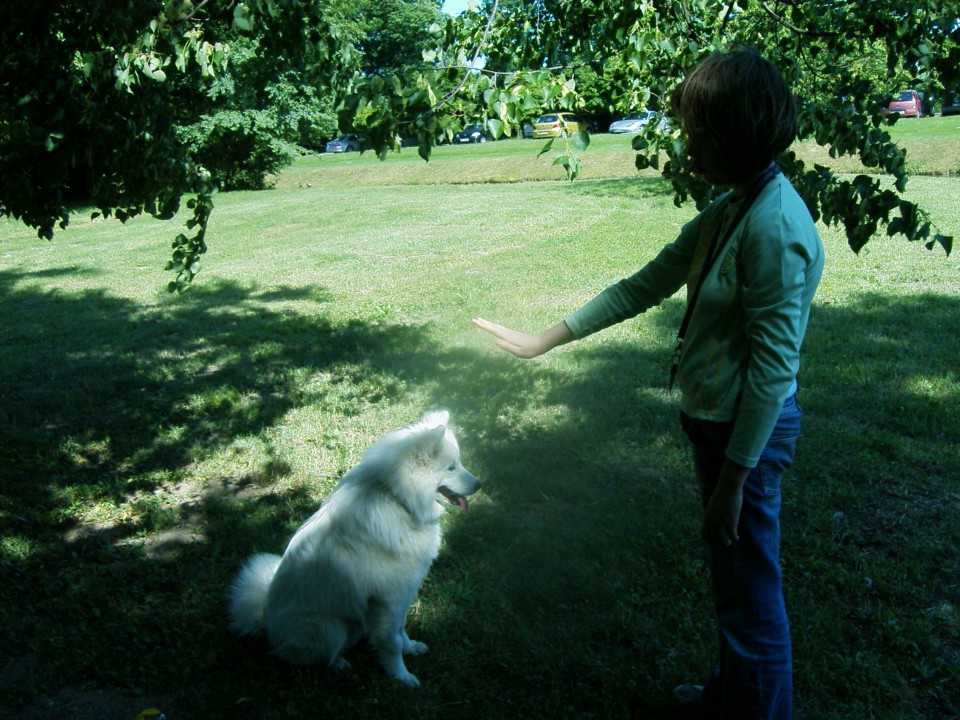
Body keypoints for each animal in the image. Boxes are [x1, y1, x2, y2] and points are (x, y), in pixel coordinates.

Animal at [230, 410, 484, 688]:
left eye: (459, 463)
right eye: (451, 467)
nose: (480, 484)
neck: (397, 500)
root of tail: (265, 622)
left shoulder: (403, 595)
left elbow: (401, 630)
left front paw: (411, 649)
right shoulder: (388, 600)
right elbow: (392, 642)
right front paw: (401, 677)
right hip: (329, 629)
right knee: (310, 658)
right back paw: (339, 664)